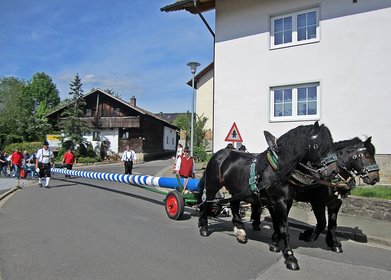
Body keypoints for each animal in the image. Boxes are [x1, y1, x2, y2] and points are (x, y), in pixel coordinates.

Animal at [199, 121, 340, 270]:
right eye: (316, 145)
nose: (334, 172)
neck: (278, 168)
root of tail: (218, 154)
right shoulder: (279, 201)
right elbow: (284, 227)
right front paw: (290, 256)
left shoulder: (283, 201)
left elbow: (278, 224)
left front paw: (275, 245)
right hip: (212, 186)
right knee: (206, 202)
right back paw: (204, 227)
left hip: (236, 189)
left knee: (234, 205)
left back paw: (240, 232)